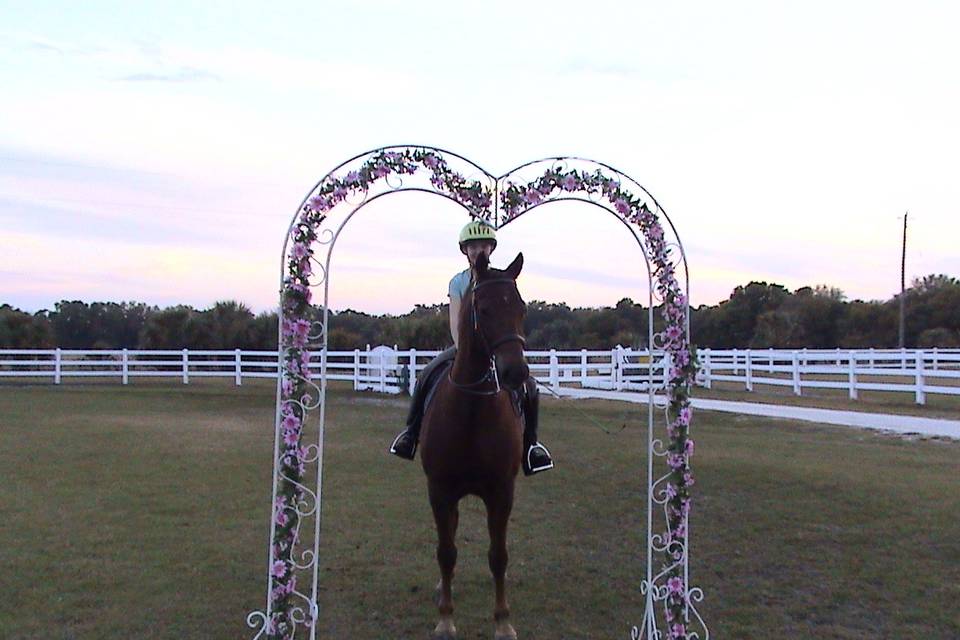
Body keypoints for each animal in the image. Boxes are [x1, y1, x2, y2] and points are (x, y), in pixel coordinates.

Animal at [416, 251, 528, 640]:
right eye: (483, 307)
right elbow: (446, 552)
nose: (515, 373)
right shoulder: (440, 490)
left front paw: (504, 622)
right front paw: (446, 619)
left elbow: (499, 556)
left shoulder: (502, 492)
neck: (471, 410)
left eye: (521, 307)